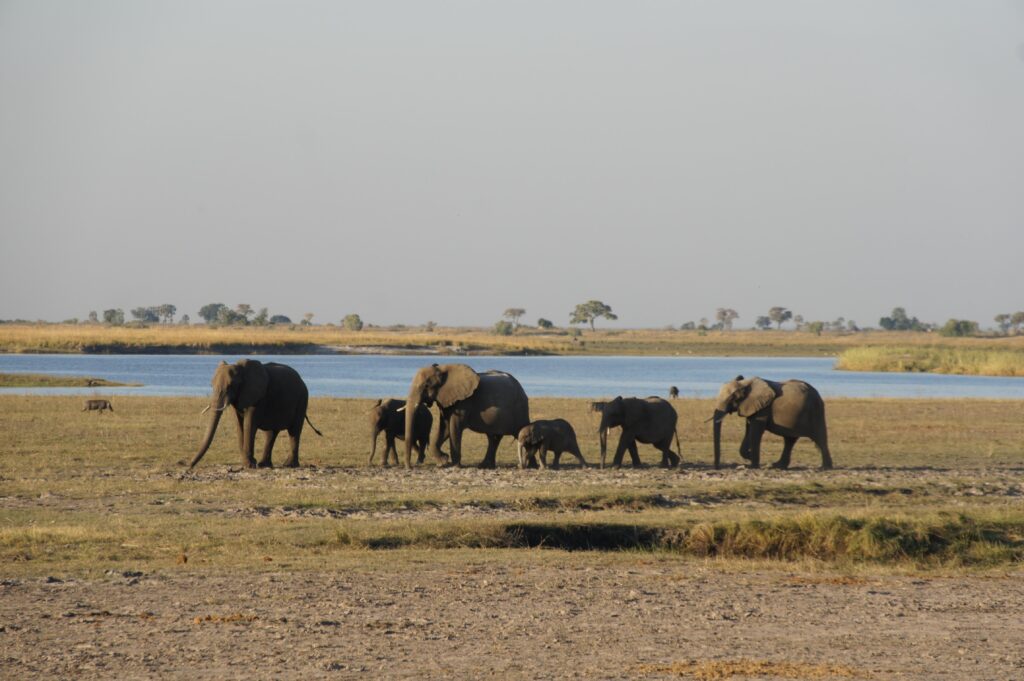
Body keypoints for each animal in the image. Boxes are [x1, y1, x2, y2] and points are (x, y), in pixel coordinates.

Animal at [190, 359, 323, 469]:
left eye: (230, 386)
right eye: (211, 385)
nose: (189, 466)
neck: (241, 369)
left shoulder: (258, 397)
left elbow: (249, 424)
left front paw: (249, 465)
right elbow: (240, 425)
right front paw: (246, 463)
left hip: (302, 399)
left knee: (294, 431)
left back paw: (289, 465)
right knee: (271, 433)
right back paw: (264, 465)